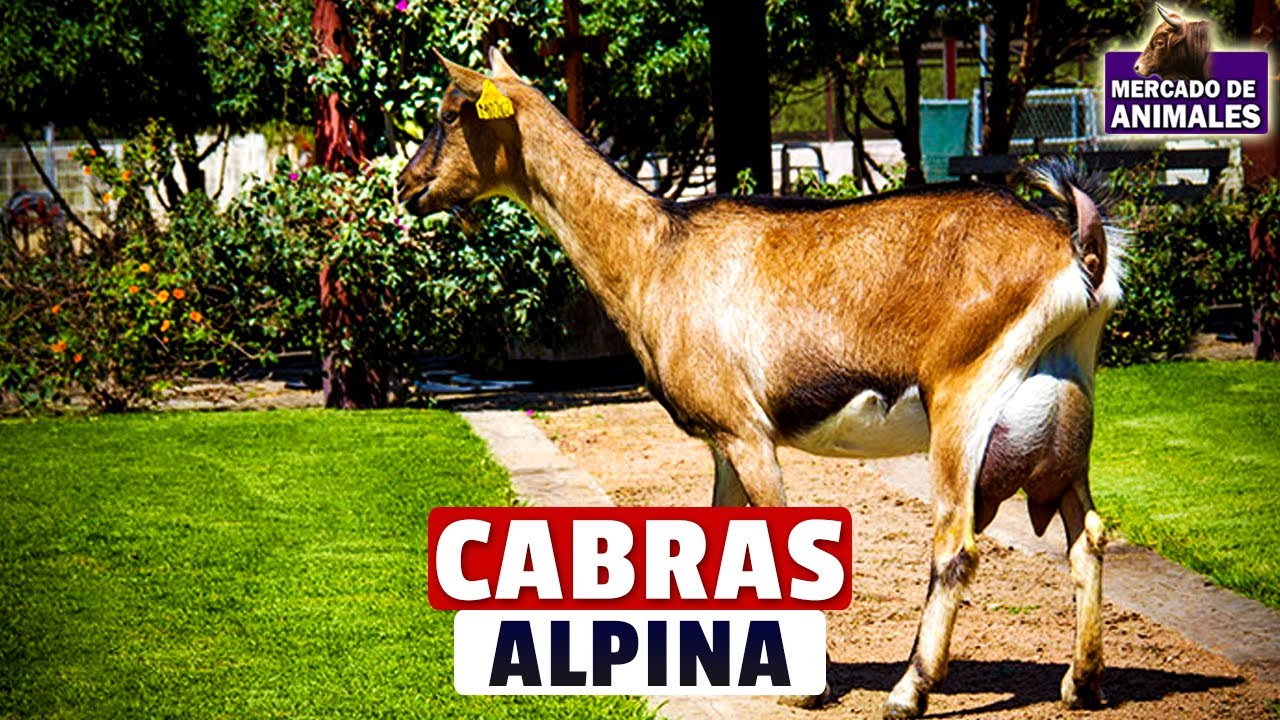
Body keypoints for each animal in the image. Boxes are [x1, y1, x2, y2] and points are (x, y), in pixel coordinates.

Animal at [398, 49, 1125, 719]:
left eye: (448, 114)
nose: (406, 187)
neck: (655, 253)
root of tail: (1078, 248)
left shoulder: (749, 432)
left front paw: (809, 684)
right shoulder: (722, 438)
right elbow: (712, 550)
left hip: (962, 399)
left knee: (954, 542)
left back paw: (909, 690)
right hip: (1066, 400)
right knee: (1085, 534)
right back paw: (1082, 682)